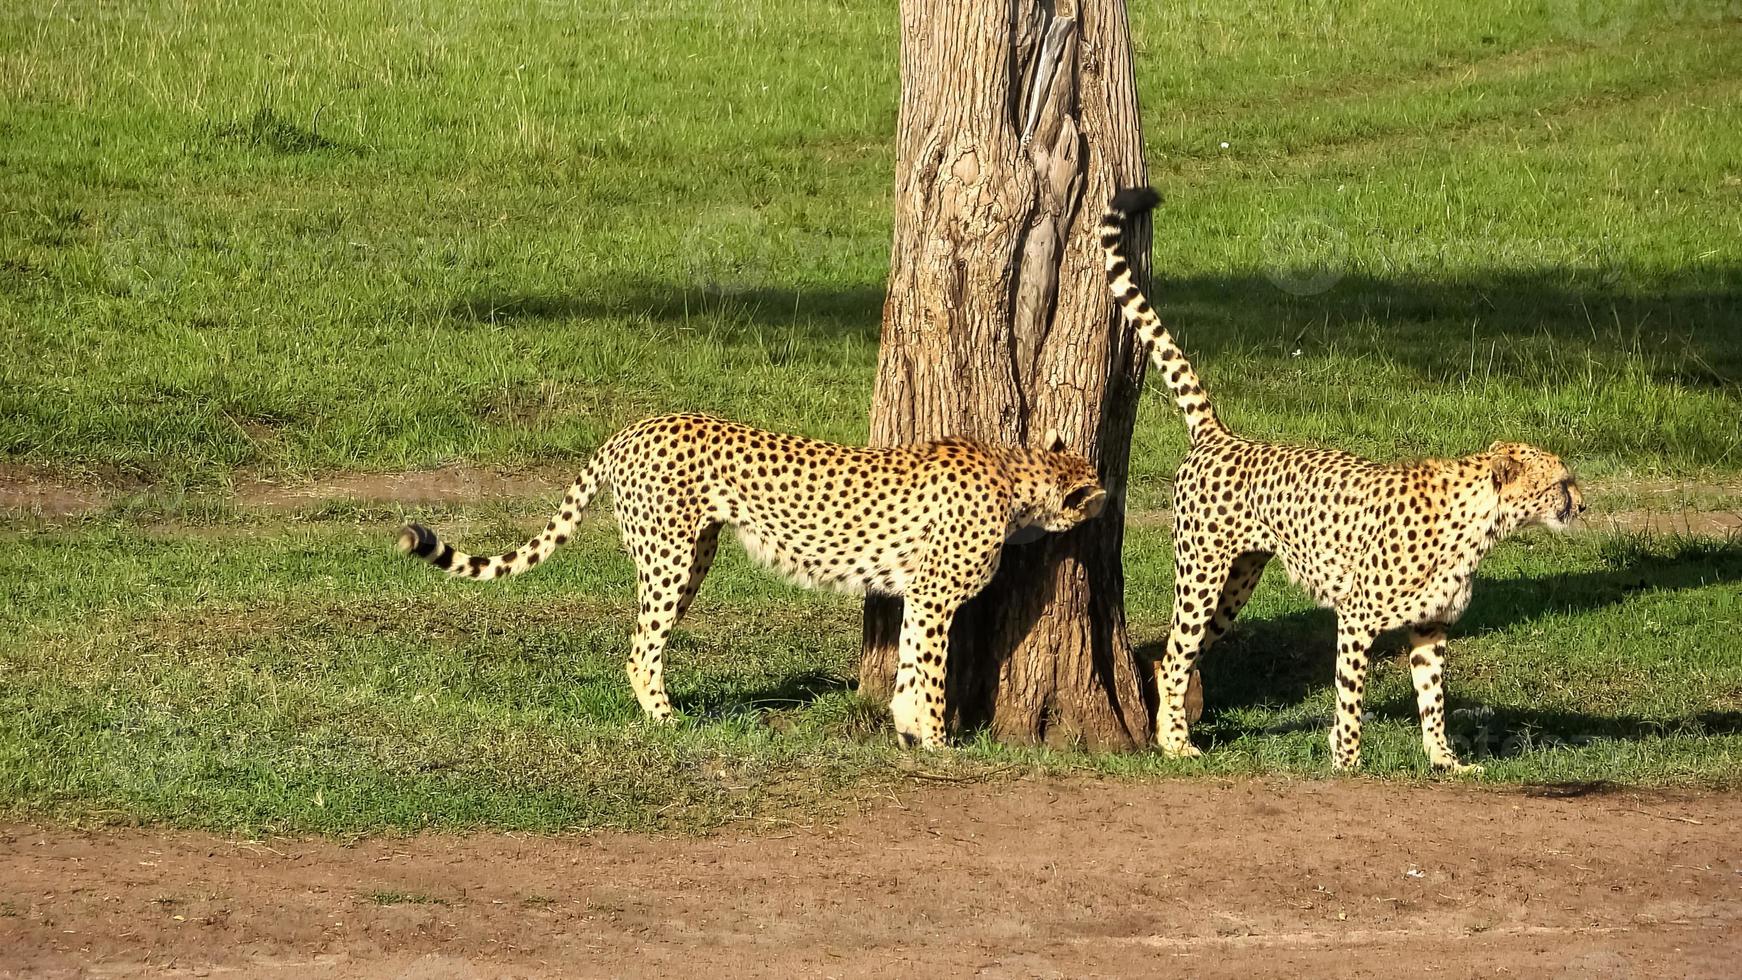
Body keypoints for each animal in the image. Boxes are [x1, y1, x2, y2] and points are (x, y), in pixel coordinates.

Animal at [398, 410, 1100, 748]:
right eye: (1094, 484)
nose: (1109, 499)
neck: (1018, 478)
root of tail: (637, 424)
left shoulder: (915, 599)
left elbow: (906, 669)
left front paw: (907, 731)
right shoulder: (932, 598)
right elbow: (927, 675)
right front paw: (935, 741)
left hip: (694, 557)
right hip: (670, 558)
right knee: (640, 648)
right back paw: (667, 722)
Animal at [1107, 189, 1588, 776]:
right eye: (1561, 481)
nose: (1583, 503)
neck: (1479, 522)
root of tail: (1223, 436)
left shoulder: (1430, 629)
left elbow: (1433, 700)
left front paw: (1445, 760)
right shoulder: (1357, 618)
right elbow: (1350, 695)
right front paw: (1348, 759)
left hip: (1236, 583)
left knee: (1168, 656)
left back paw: (1168, 731)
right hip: (1202, 575)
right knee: (1175, 655)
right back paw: (1176, 743)